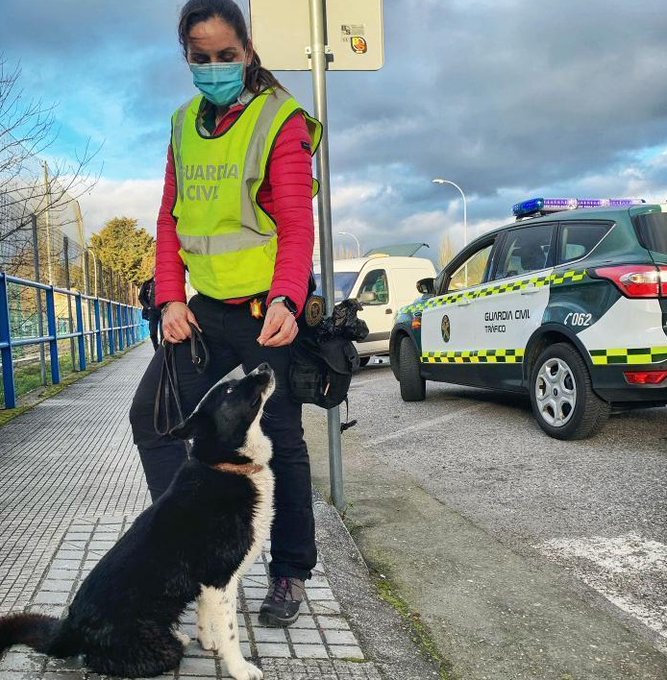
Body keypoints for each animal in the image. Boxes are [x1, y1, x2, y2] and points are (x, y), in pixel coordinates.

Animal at [0, 364, 276, 676]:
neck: (226, 466)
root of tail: (69, 629)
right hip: (154, 648)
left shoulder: (207, 584)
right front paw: (240, 668)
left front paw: (208, 642)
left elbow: (207, 617)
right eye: (230, 389)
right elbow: (230, 632)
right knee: (100, 660)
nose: (264, 365)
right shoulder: (220, 578)